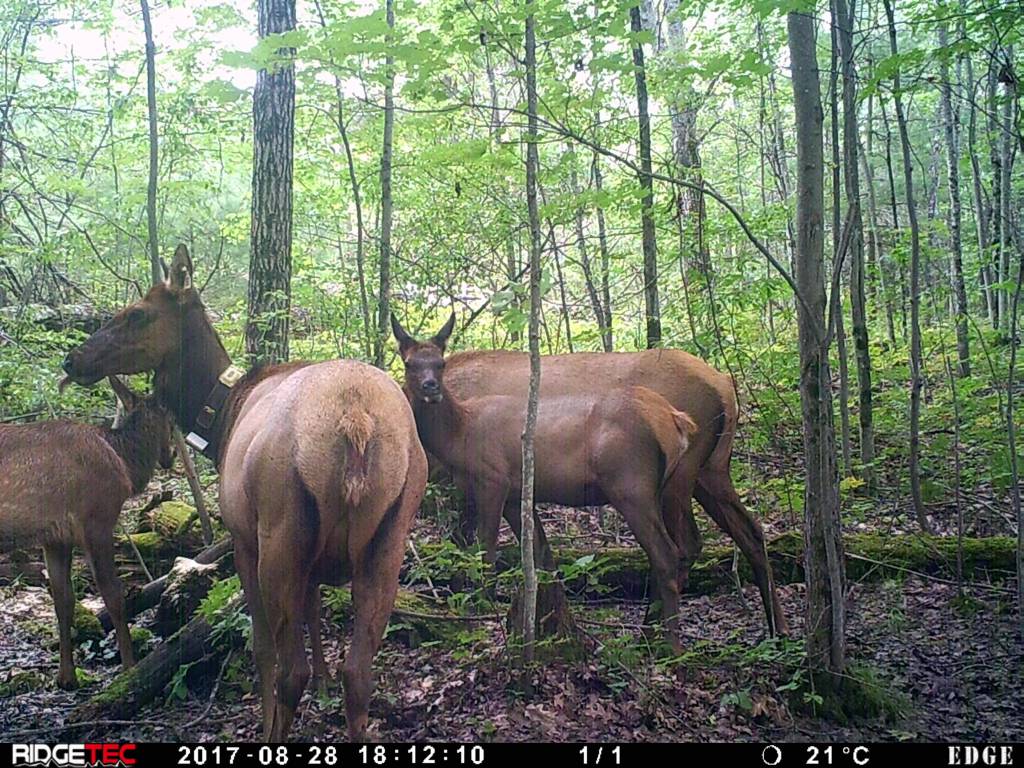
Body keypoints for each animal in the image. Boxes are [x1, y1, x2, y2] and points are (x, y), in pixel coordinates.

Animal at [0, 378, 173, 692]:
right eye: (169, 418)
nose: (170, 456)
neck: (125, 463)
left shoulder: (55, 537)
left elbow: (63, 601)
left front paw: (66, 676)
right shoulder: (98, 520)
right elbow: (113, 595)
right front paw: (129, 668)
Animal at [59, 244, 428, 741]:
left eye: (137, 313)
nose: (73, 359)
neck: (220, 417)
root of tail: (356, 421)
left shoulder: (240, 540)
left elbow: (260, 648)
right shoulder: (313, 565)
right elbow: (315, 619)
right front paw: (322, 693)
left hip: (279, 531)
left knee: (290, 670)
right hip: (389, 537)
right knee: (358, 675)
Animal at [389, 315, 704, 647]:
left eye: (441, 363)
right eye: (409, 363)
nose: (431, 387)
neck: (460, 436)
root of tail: (676, 420)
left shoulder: (492, 479)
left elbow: (487, 549)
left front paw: (484, 607)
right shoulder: (515, 493)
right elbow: (540, 554)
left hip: (631, 485)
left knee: (666, 554)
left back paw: (671, 645)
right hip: (664, 487)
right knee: (677, 551)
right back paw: (650, 632)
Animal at [419, 331, 786, 638]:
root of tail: (726, 386)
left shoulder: (476, 479)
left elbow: (466, 545)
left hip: (678, 476)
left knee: (686, 544)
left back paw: (655, 630)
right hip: (712, 470)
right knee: (751, 532)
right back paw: (776, 630)